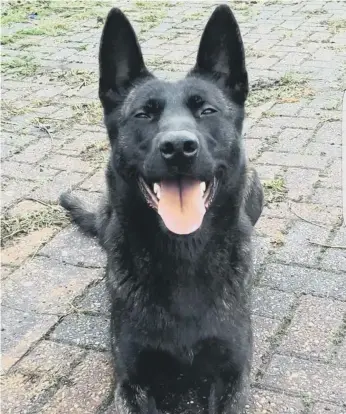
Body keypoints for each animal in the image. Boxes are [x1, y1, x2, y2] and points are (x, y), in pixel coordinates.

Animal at [60, 4, 264, 414]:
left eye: (207, 111)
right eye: (143, 114)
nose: (178, 147)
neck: (183, 253)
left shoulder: (234, 374)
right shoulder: (132, 380)